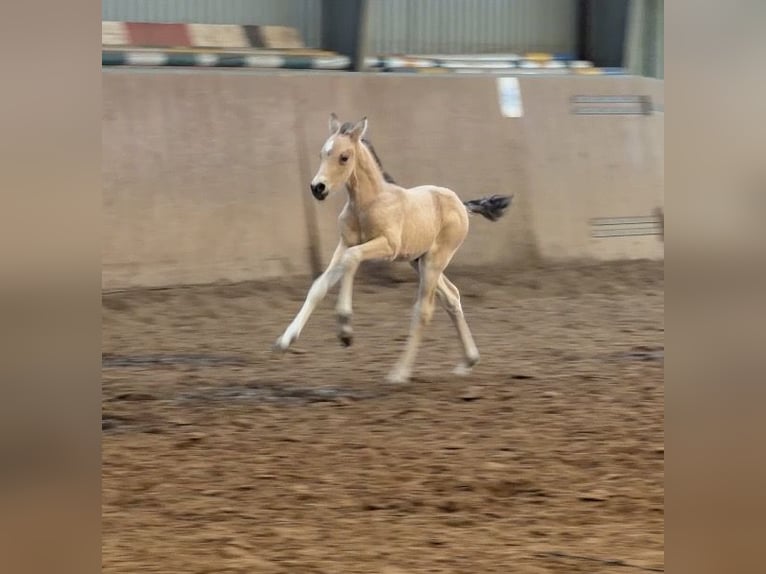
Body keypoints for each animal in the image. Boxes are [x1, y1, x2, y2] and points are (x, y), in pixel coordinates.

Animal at [274, 113, 513, 383]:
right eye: (322, 154)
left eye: (344, 157)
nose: (318, 187)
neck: (367, 203)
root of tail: (461, 204)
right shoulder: (344, 243)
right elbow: (319, 285)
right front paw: (285, 341)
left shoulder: (387, 246)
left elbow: (352, 259)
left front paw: (345, 329)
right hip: (419, 261)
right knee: (452, 296)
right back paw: (468, 361)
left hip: (434, 261)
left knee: (424, 310)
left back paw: (399, 373)